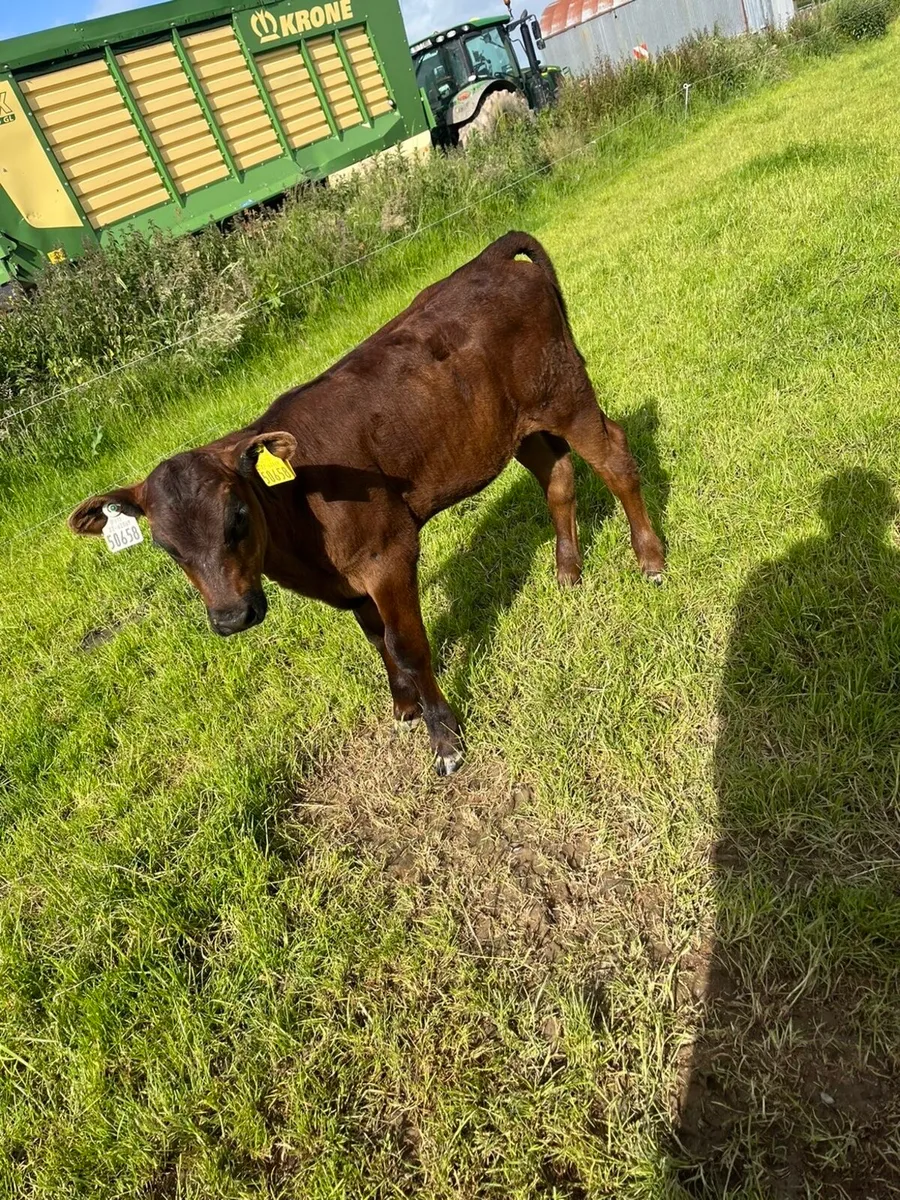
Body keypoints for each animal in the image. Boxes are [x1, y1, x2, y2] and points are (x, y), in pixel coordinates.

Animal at [69, 232, 665, 775]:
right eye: (167, 547)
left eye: (237, 517)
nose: (232, 616)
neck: (300, 528)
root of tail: (489, 257)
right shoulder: (348, 580)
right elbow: (375, 638)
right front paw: (404, 707)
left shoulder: (388, 554)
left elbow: (406, 644)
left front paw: (444, 739)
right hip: (514, 426)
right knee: (557, 476)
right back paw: (568, 573)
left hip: (565, 392)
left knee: (615, 458)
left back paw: (650, 560)